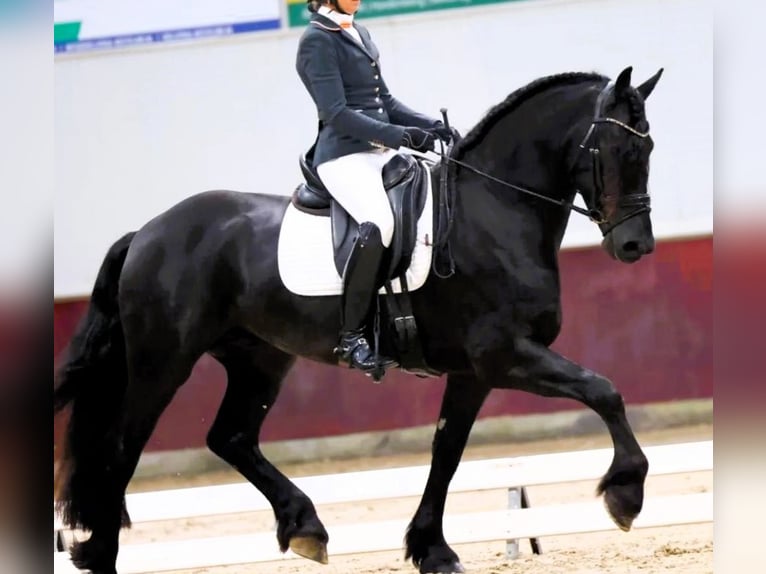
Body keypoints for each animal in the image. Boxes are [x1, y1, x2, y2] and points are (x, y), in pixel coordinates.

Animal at [55, 67, 664, 574]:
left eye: (649, 145)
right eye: (615, 146)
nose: (636, 246)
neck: (493, 212)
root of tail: (148, 231)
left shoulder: (474, 372)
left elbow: (447, 452)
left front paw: (432, 549)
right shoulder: (506, 355)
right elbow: (604, 390)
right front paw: (625, 493)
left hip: (260, 359)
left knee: (230, 437)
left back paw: (305, 526)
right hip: (163, 362)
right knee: (120, 451)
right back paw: (102, 555)